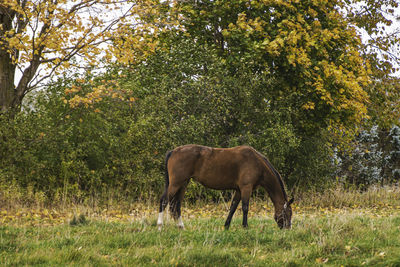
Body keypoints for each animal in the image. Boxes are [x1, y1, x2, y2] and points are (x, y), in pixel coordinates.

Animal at [157, 144, 294, 230]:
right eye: (288, 213)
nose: (287, 228)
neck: (257, 163)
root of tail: (173, 151)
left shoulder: (238, 190)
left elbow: (233, 208)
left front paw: (226, 226)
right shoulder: (246, 188)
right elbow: (245, 208)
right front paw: (245, 227)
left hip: (183, 184)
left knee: (176, 205)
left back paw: (181, 226)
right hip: (176, 184)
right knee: (164, 201)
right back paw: (160, 226)